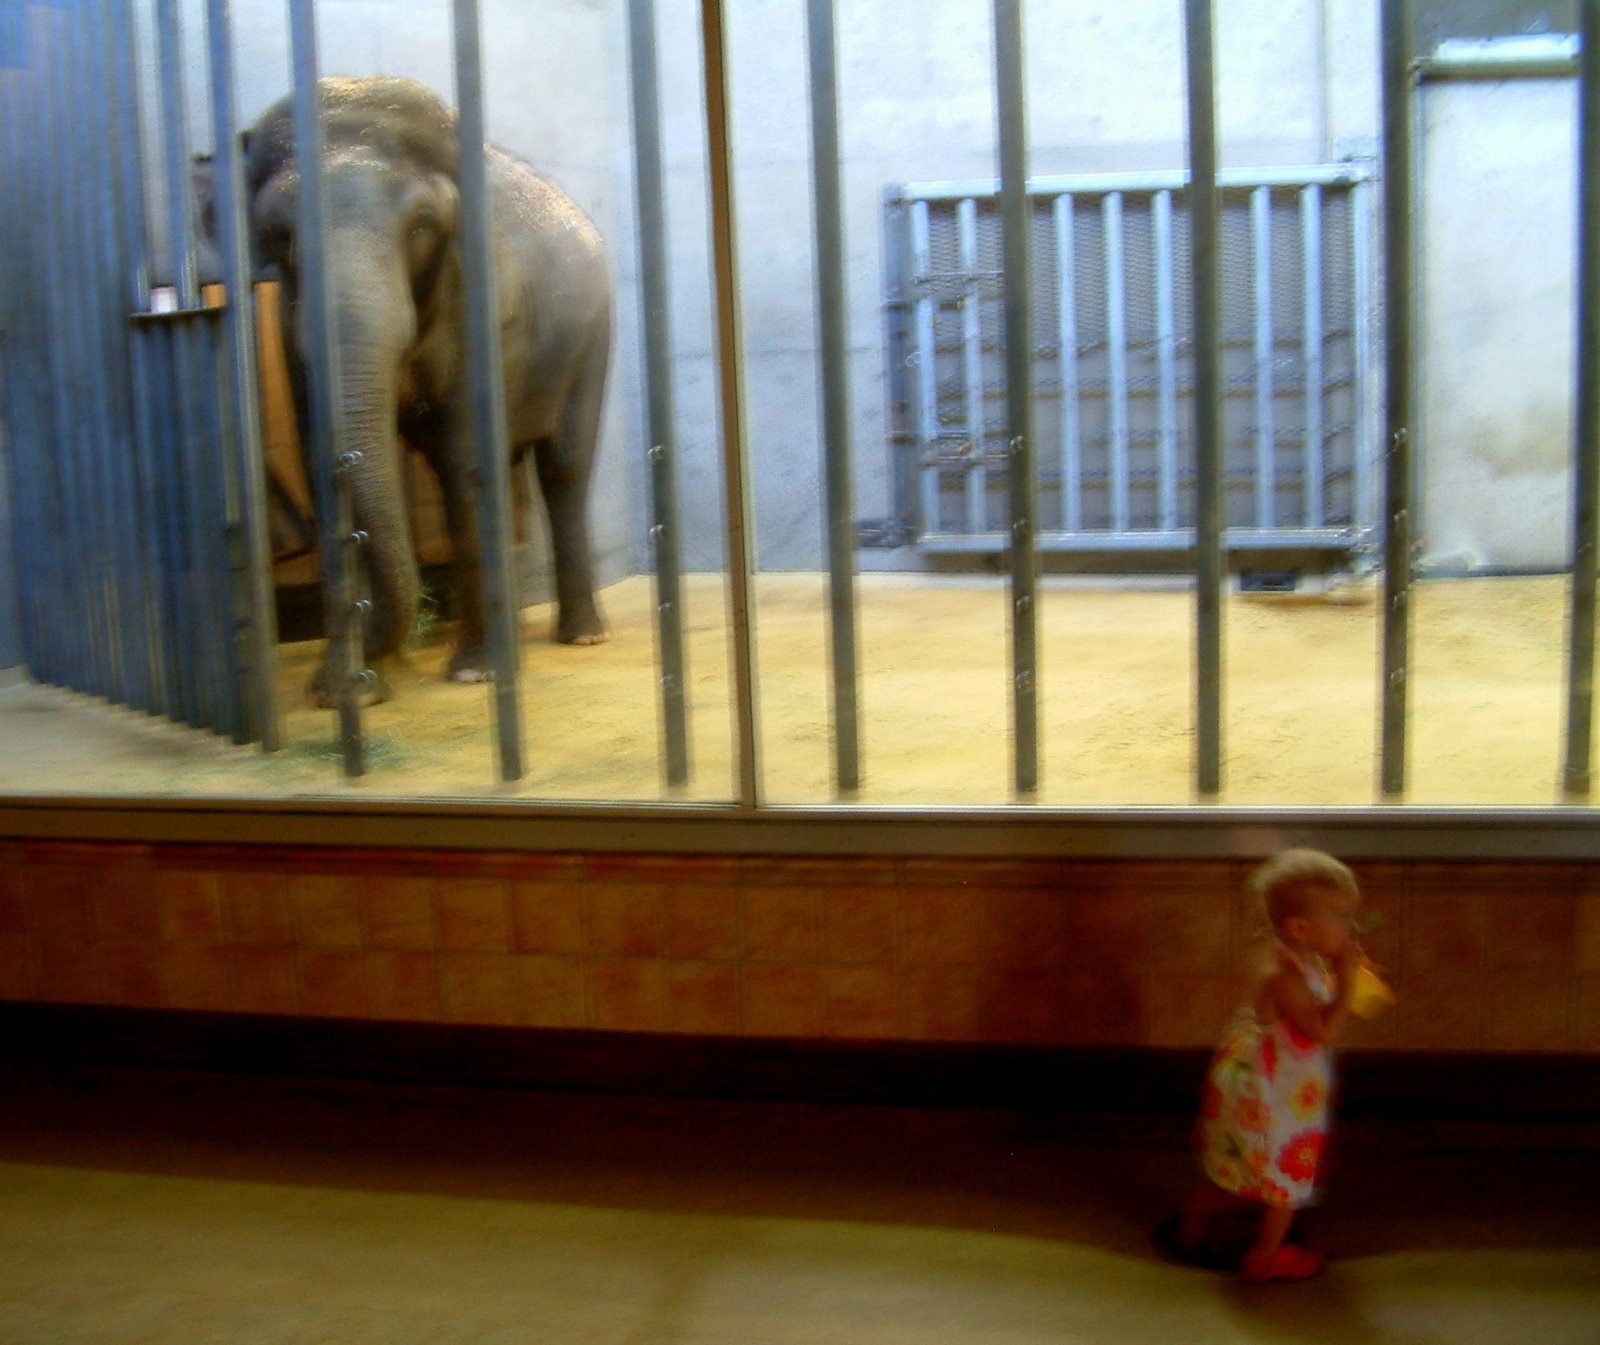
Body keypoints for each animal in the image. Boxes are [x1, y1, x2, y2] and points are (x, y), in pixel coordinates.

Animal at [241, 75, 610, 703]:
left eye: (421, 225)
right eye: (280, 234)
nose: (372, 663)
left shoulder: (488, 306)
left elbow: (464, 466)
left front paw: (476, 674)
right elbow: (324, 467)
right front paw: (344, 692)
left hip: (592, 342)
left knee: (563, 470)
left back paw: (583, 637)